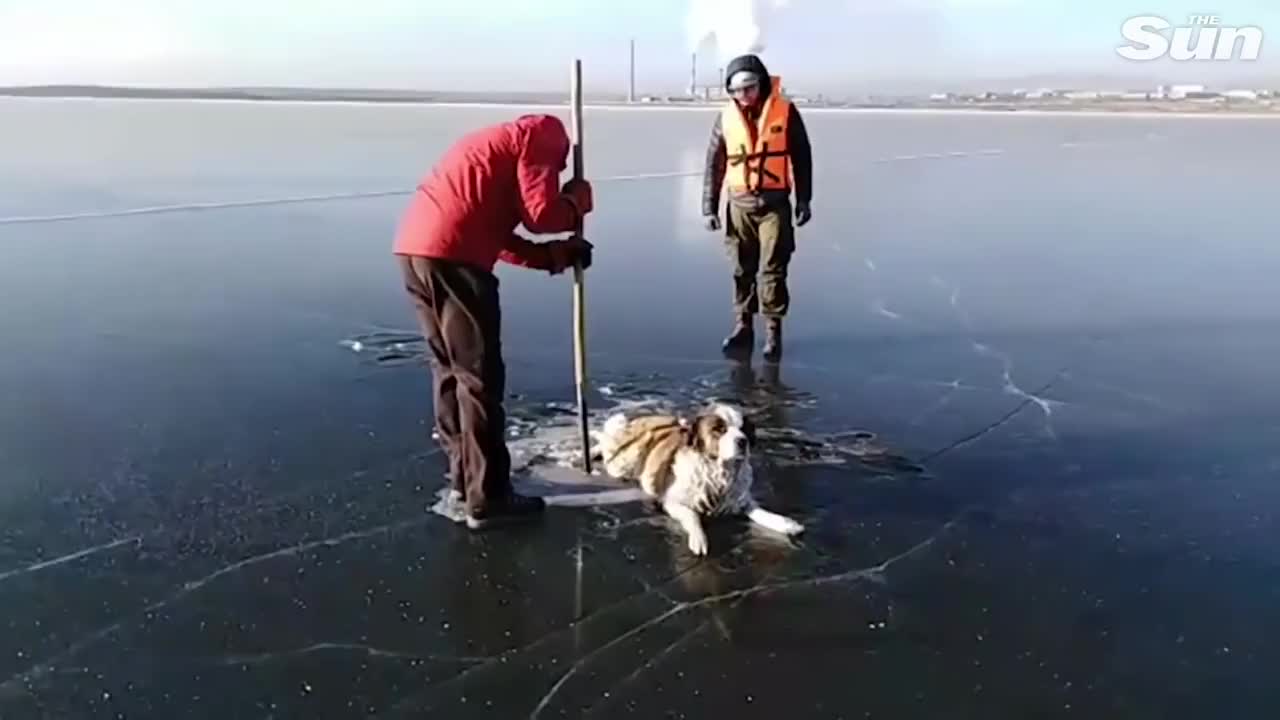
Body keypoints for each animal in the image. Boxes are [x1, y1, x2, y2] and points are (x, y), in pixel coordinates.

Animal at [588, 399, 798, 550]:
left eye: (743, 429)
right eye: (719, 429)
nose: (742, 441)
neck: (718, 471)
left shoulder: (740, 499)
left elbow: (760, 511)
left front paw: (786, 523)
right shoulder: (671, 502)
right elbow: (692, 515)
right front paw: (699, 538)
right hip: (623, 462)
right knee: (606, 446)